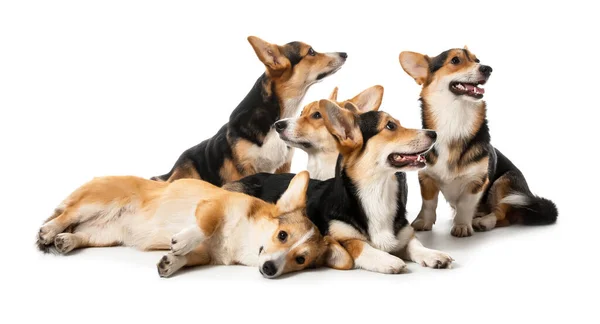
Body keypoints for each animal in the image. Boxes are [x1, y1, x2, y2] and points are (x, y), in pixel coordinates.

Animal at [35, 171, 354, 280]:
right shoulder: (213, 206)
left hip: (104, 234)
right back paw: (49, 231)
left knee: (80, 233)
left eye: (301, 260)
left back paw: (65, 241)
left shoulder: (207, 255)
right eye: (282, 235)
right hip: (95, 203)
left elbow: (188, 257)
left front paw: (171, 262)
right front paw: (183, 240)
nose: (269, 269)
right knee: (66, 215)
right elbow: (205, 225)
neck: (244, 243)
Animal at [151, 36, 346, 185]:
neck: (277, 115)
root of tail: (171, 170)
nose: (344, 53)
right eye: (311, 52)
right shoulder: (245, 169)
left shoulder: (284, 165)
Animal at [225, 100, 454, 274]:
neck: (377, 191)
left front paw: (434, 255)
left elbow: (416, 244)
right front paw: (387, 260)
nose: (434, 133)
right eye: (390, 126)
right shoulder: (338, 237)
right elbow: (359, 244)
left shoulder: (405, 234)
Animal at [398, 46, 556, 237]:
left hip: (506, 182)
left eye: (477, 60)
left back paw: (483, 221)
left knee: (502, 214)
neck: (454, 120)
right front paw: (423, 222)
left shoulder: (478, 181)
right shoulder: (426, 177)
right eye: (455, 60)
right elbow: (429, 203)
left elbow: (465, 204)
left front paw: (462, 226)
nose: (487, 69)